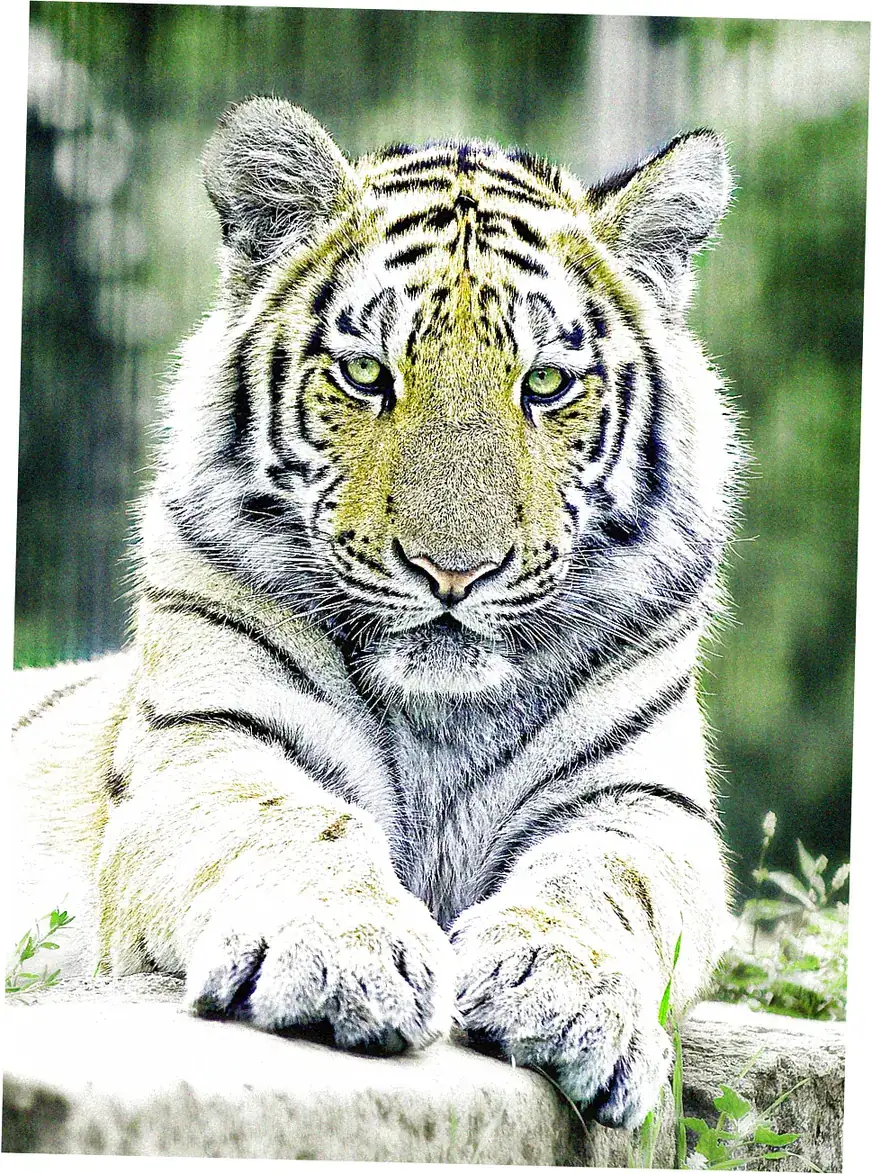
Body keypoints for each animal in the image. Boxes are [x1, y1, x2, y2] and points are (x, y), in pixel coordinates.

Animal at [10, 98, 741, 1131]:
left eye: (546, 384)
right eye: (366, 374)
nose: (454, 571)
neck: (444, 721)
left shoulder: (644, 804)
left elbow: (604, 883)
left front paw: (560, 987)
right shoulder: (210, 746)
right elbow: (291, 825)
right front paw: (340, 955)